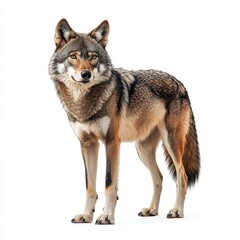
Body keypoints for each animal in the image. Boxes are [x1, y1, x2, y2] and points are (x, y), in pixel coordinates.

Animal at [48, 18, 199, 225]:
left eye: (93, 57)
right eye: (73, 56)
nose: (86, 74)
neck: (83, 102)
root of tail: (180, 83)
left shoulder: (112, 142)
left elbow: (109, 183)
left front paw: (106, 216)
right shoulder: (87, 144)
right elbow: (90, 186)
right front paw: (86, 215)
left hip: (171, 144)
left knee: (181, 176)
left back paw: (176, 211)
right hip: (142, 150)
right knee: (159, 177)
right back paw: (152, 210)